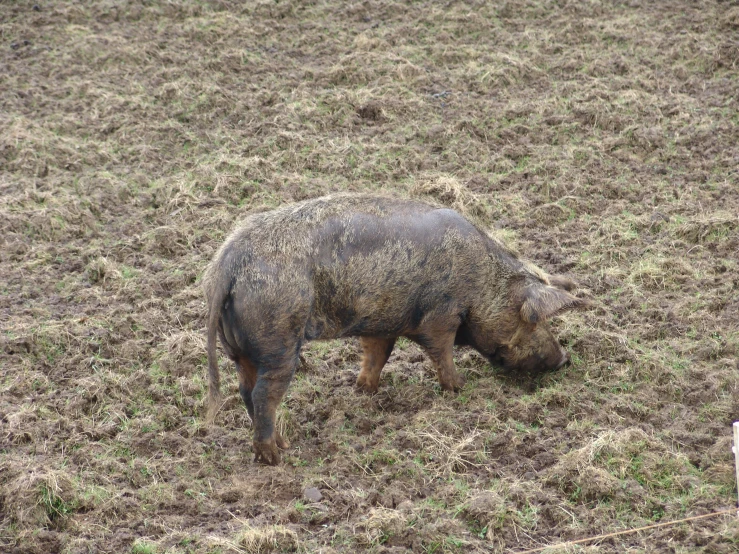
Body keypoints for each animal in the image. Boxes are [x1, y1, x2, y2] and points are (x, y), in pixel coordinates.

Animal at [204, 192, 596, 464]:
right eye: (533, 319)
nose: (564, 359)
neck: (482, 282)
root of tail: (225, 266)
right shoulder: (440, 314)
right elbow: (441, 351)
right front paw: (459, 388)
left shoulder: (381, 324)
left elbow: (377, 355)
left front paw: (365, 390)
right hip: (279, 338)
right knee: (262, 394)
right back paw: (276, 456)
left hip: (241, 348)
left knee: (246, 391)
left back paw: (283, 443)